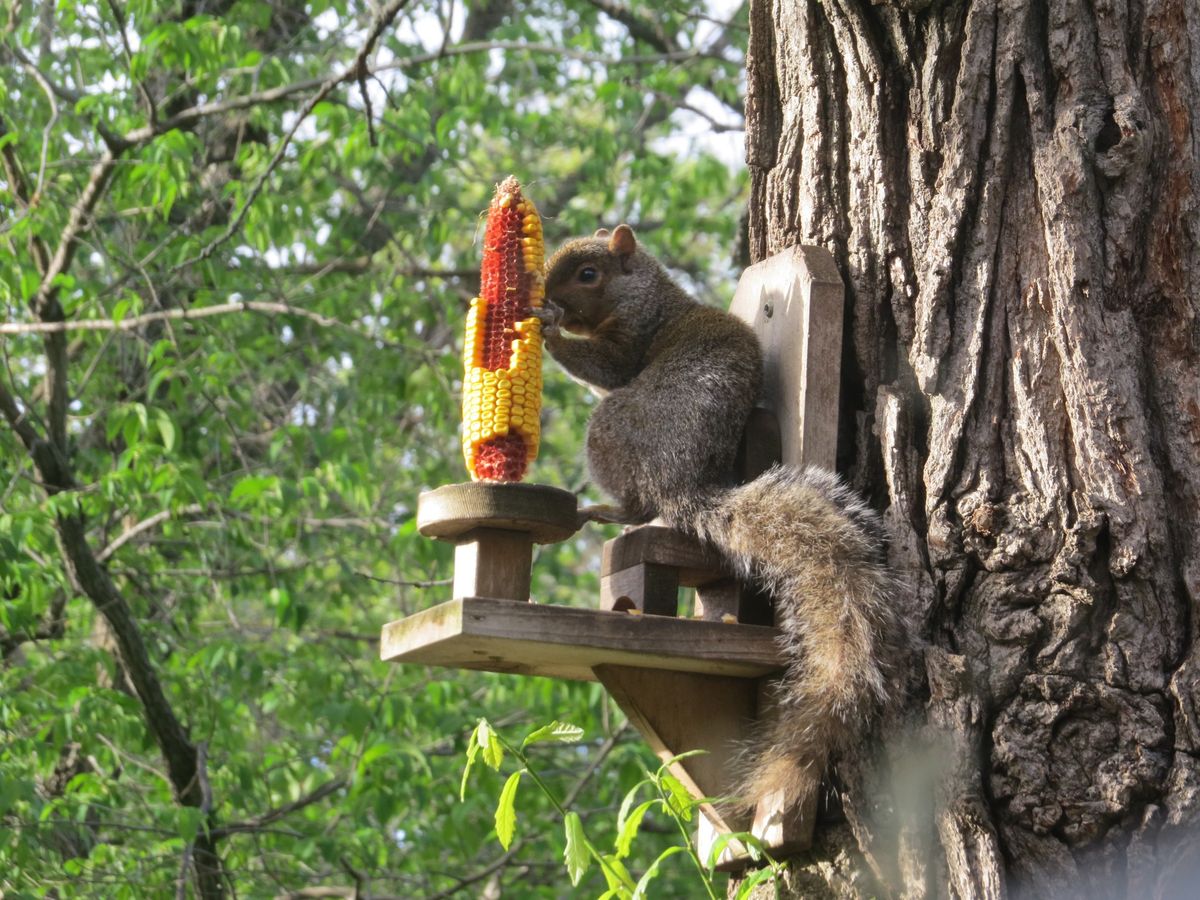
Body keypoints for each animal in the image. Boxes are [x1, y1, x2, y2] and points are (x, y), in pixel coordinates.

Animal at [540, 224, 902, 811]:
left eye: (588, 275)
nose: (548, 296)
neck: (652, 295)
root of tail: (681, 485)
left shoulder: (633, 339)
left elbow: (606, 367)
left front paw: (543, 325)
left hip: (609, 432)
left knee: (639, 503)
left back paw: (607, 510)